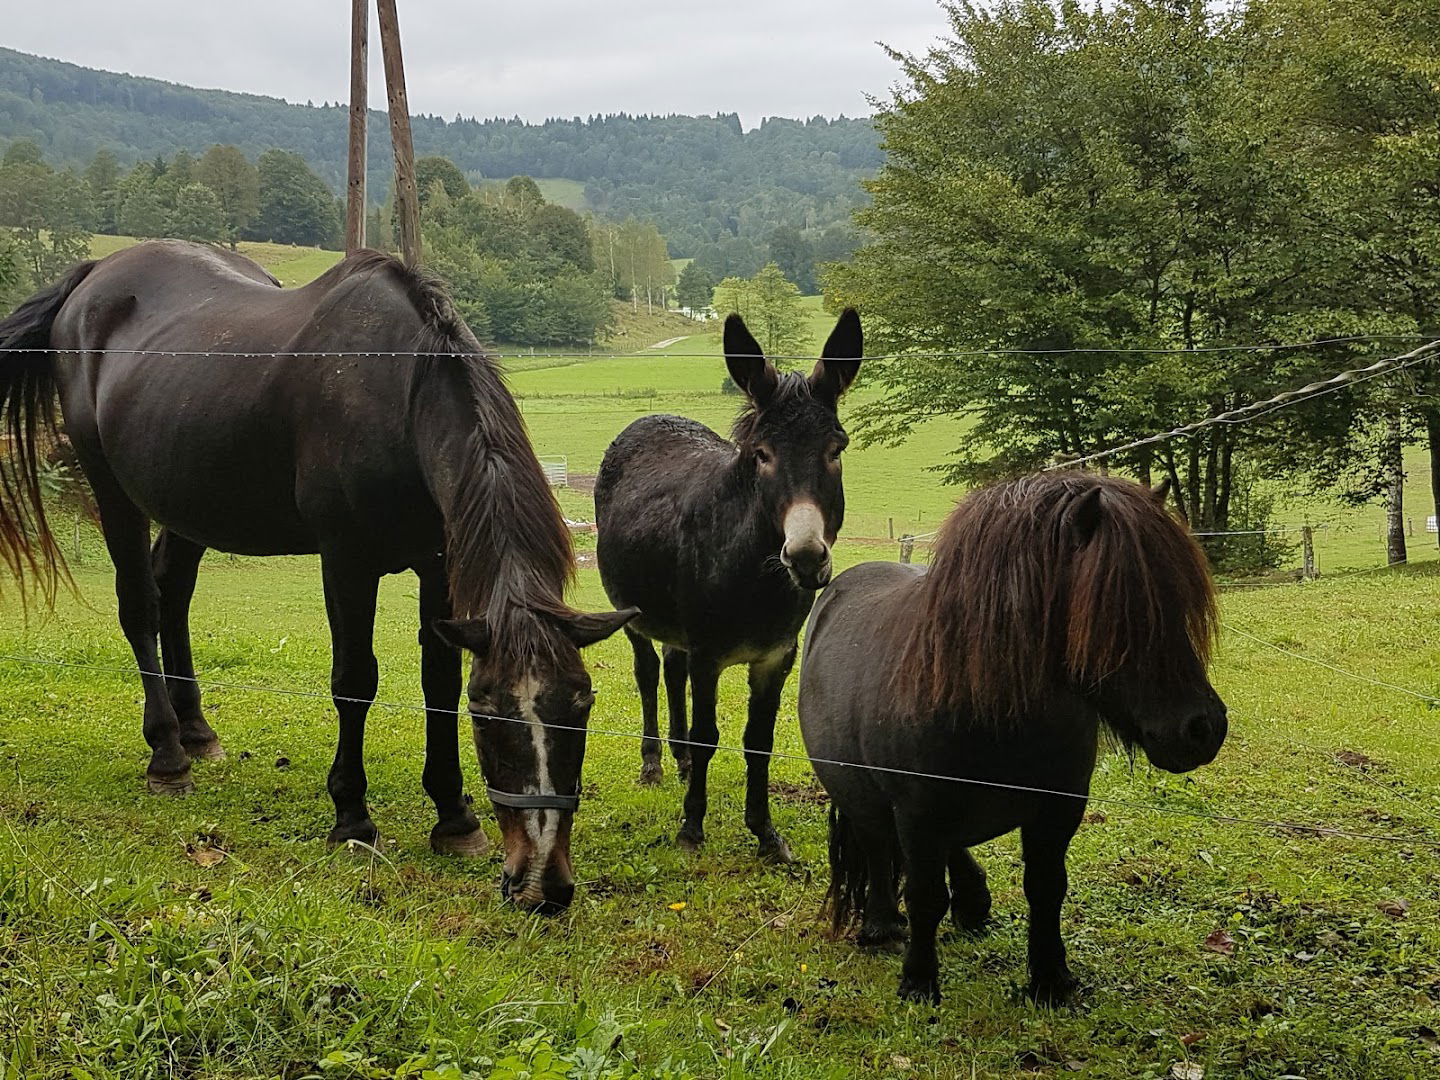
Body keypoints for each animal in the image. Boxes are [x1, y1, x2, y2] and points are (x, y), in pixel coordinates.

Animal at [0, 239, 636, 915]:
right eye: (489, 714)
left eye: (583, 703)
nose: (541, 883)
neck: (399, 392)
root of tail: (92, 278)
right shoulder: (346, 560)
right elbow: (355, 682)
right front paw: (352, 817)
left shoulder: (438, 566)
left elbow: (436, 681)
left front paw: (454, 816)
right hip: (113, 490)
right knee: (140, 605)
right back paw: (168, 753)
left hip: (190, 501)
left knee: (173, 592)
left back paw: (197, 730)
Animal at [593, 312, 858, 864]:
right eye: (762, 455)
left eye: (835, 450)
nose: (806, 558)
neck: (757, 578)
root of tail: (654, 416)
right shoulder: (708, 653)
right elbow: (708, 734)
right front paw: (692, 828)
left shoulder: (776, 657)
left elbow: (758, 741)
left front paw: (766, 835)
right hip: (633, 613)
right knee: (649, 673)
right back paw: (654, 764)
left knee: (672, 670)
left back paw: (681, 762)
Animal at [800, 472, 1226, 1008]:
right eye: (1120, 607)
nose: (1203, 728)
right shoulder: (917, 814)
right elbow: (923, 895)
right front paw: (919, 981)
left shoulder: (1057, 810)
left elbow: (1046, 888)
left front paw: (1050, 978)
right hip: (859, 791)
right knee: (877, 843)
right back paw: (881, 926)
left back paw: (971, 903)